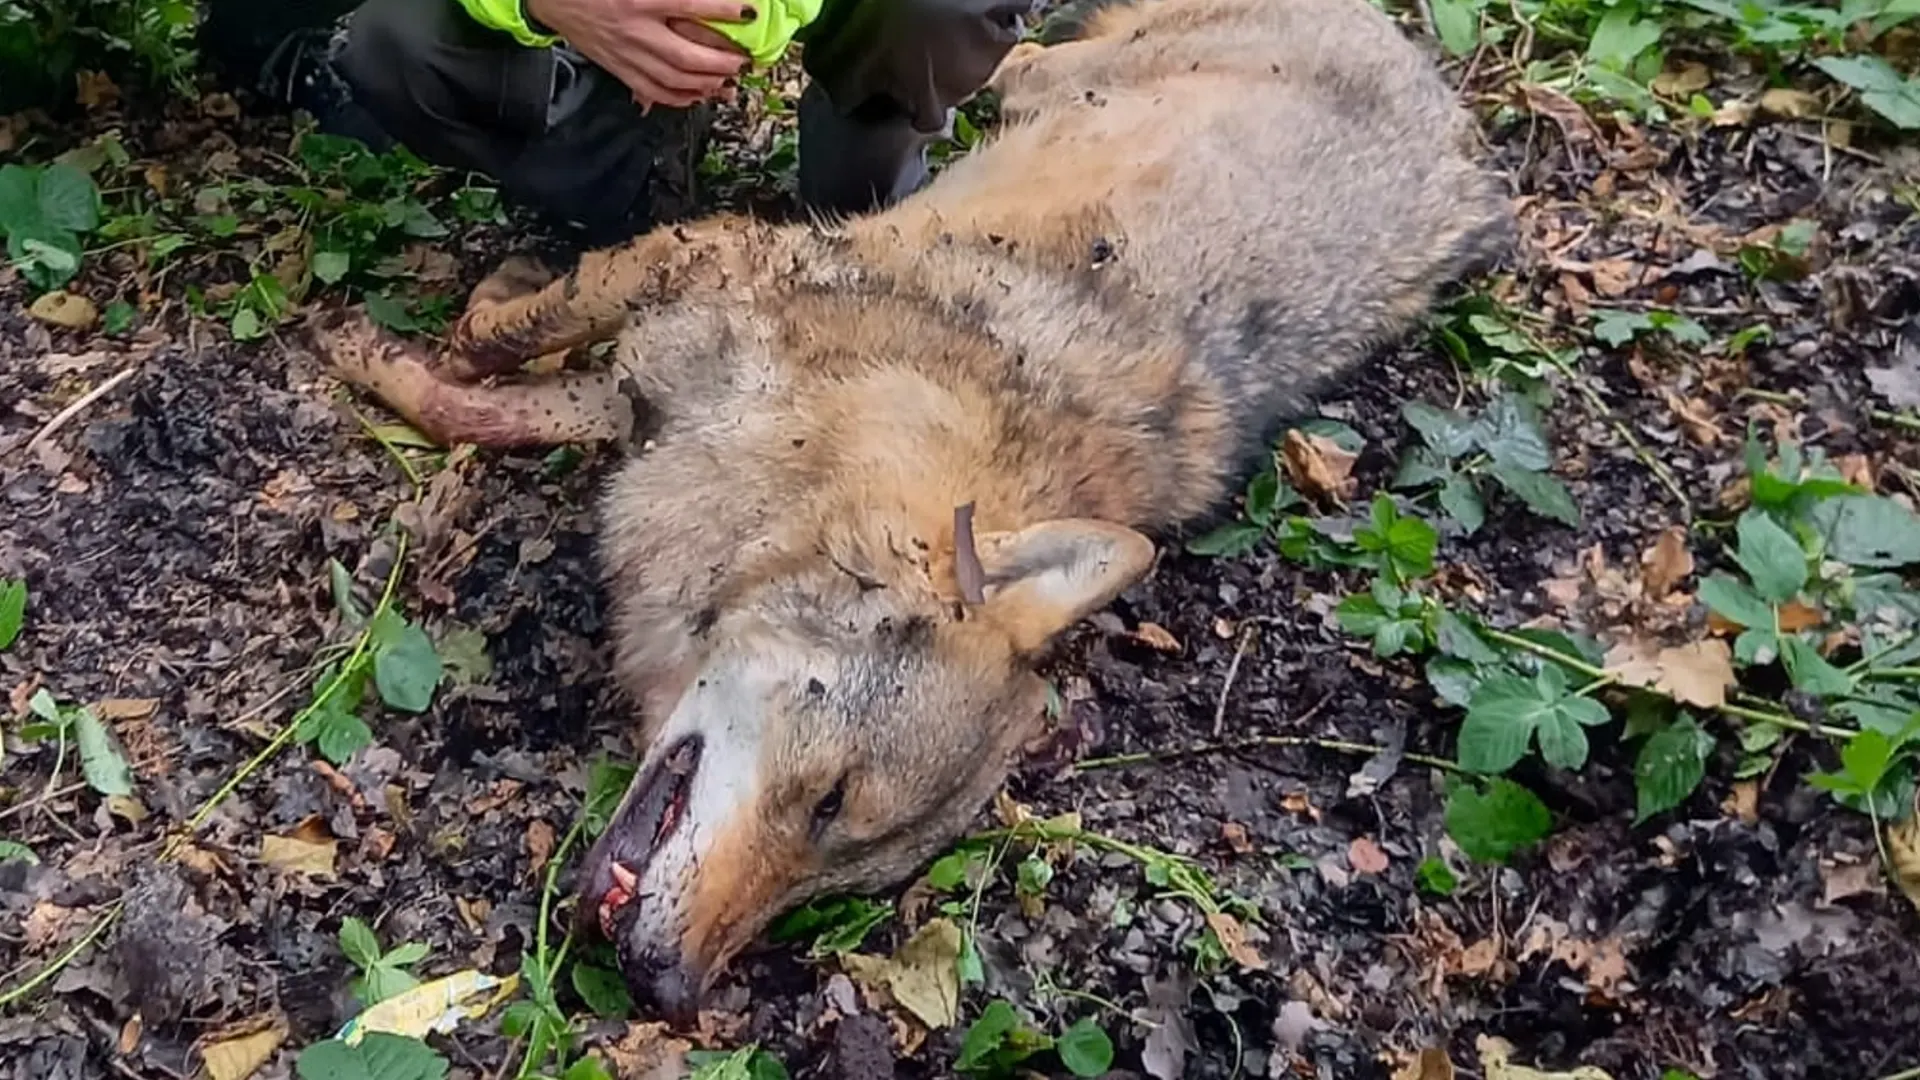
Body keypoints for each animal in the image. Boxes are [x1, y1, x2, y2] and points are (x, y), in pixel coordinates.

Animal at [310, 0, 1513, 1016]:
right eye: (832, 799)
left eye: (835, 869)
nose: (671, 991)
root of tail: (1446, 97)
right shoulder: (696, 277)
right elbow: (501, 352)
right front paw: (414, 338)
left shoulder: (652, 390)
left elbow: (490, 403)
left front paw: (405, 354)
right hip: (1062, 71)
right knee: (1016, 71)